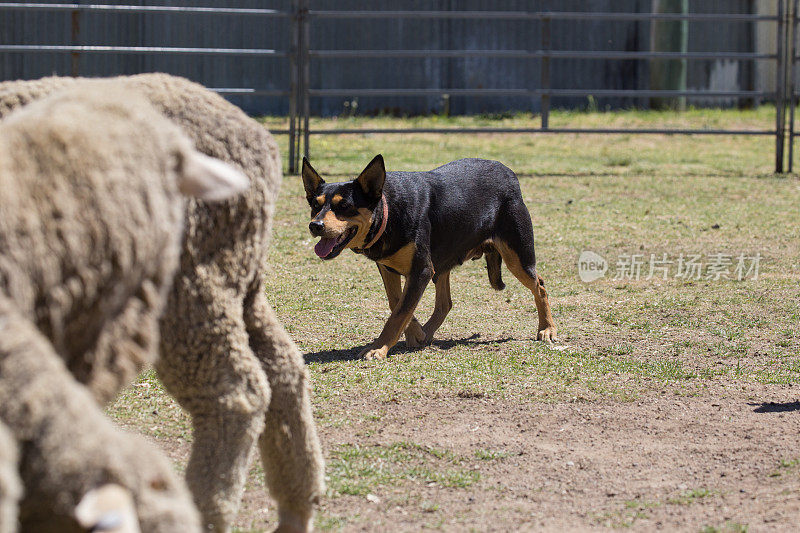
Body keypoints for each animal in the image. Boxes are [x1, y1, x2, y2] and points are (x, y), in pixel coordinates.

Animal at [0, 75, 326, 532]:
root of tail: (258, 138)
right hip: (240, 277)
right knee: (283, 370)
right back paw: (297, 504)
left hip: (191, 282)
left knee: (236, 391)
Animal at [300, 156, 556, 360]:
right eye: (314, 205)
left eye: (344, 206)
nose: (315, 225)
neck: (389, 213)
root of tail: (508, 172)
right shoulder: (390, 268)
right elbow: (398, 304)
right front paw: (415, 332)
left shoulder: (421, 270)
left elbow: (399, 312)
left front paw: (379, 348)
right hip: (442, 263)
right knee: (445, 303)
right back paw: (427, 332)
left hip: (517, 257)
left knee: (540, 286)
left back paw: (547, 329)